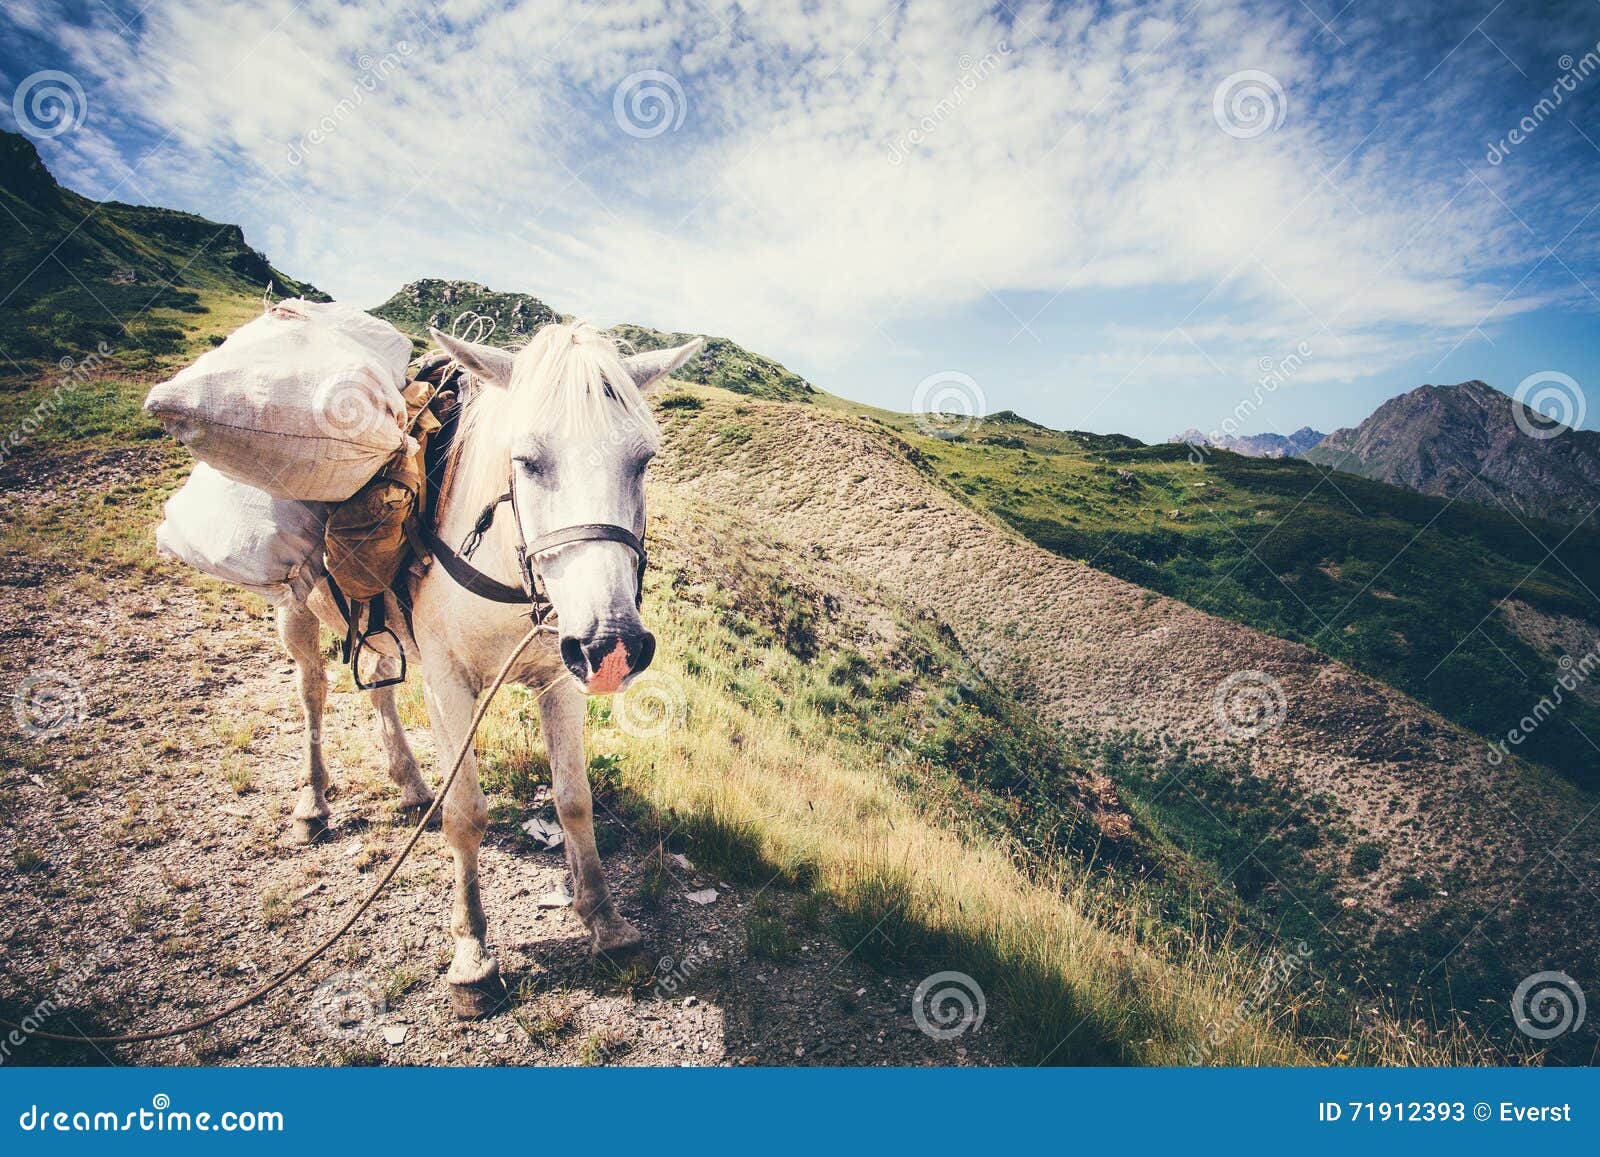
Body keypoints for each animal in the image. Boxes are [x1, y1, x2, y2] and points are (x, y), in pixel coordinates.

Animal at [275, 319, 704, 1016]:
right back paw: (313, 804)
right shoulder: (448, 685)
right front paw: (473, 959)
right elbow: (466, 815)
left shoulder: (562, 678)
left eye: (644, 460)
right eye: (526, 460)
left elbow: (574, 800)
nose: (614, 645)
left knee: (379, 689)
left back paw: (409, 784)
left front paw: (606, 924)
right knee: (312, 691)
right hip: (293, 607)